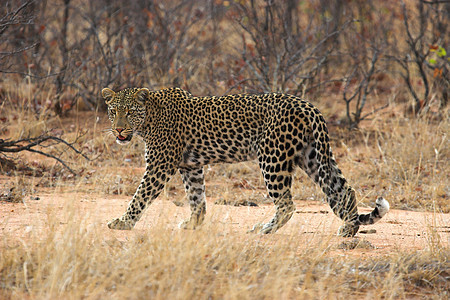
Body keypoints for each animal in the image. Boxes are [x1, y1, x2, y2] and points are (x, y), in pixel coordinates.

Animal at [103, 86, 390, 237]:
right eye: (113, 111)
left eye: (130, 112)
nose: (119, 130)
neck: (149, 118)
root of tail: (309, 106)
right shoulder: (190, 166)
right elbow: (196, 197)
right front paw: (194, 223)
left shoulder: (160, 165)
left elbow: (140, 196)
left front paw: (123, 222)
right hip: (312, 156)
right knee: (344, 190)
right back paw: (348, 229)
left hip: (272, 158)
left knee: (287, 204)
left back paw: (264, 229)